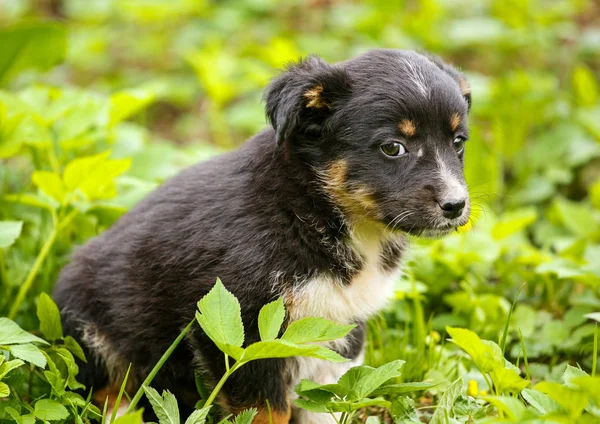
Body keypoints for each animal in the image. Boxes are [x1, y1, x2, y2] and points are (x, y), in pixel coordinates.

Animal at [54, 49, 472, 424]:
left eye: (458, 142)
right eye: (393, 147)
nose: (456, 205)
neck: (315, 208)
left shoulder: (340, 324)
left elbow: (325, 400)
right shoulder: (242, 326)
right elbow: (269, 410)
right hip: (89, 329)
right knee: (108, 390)